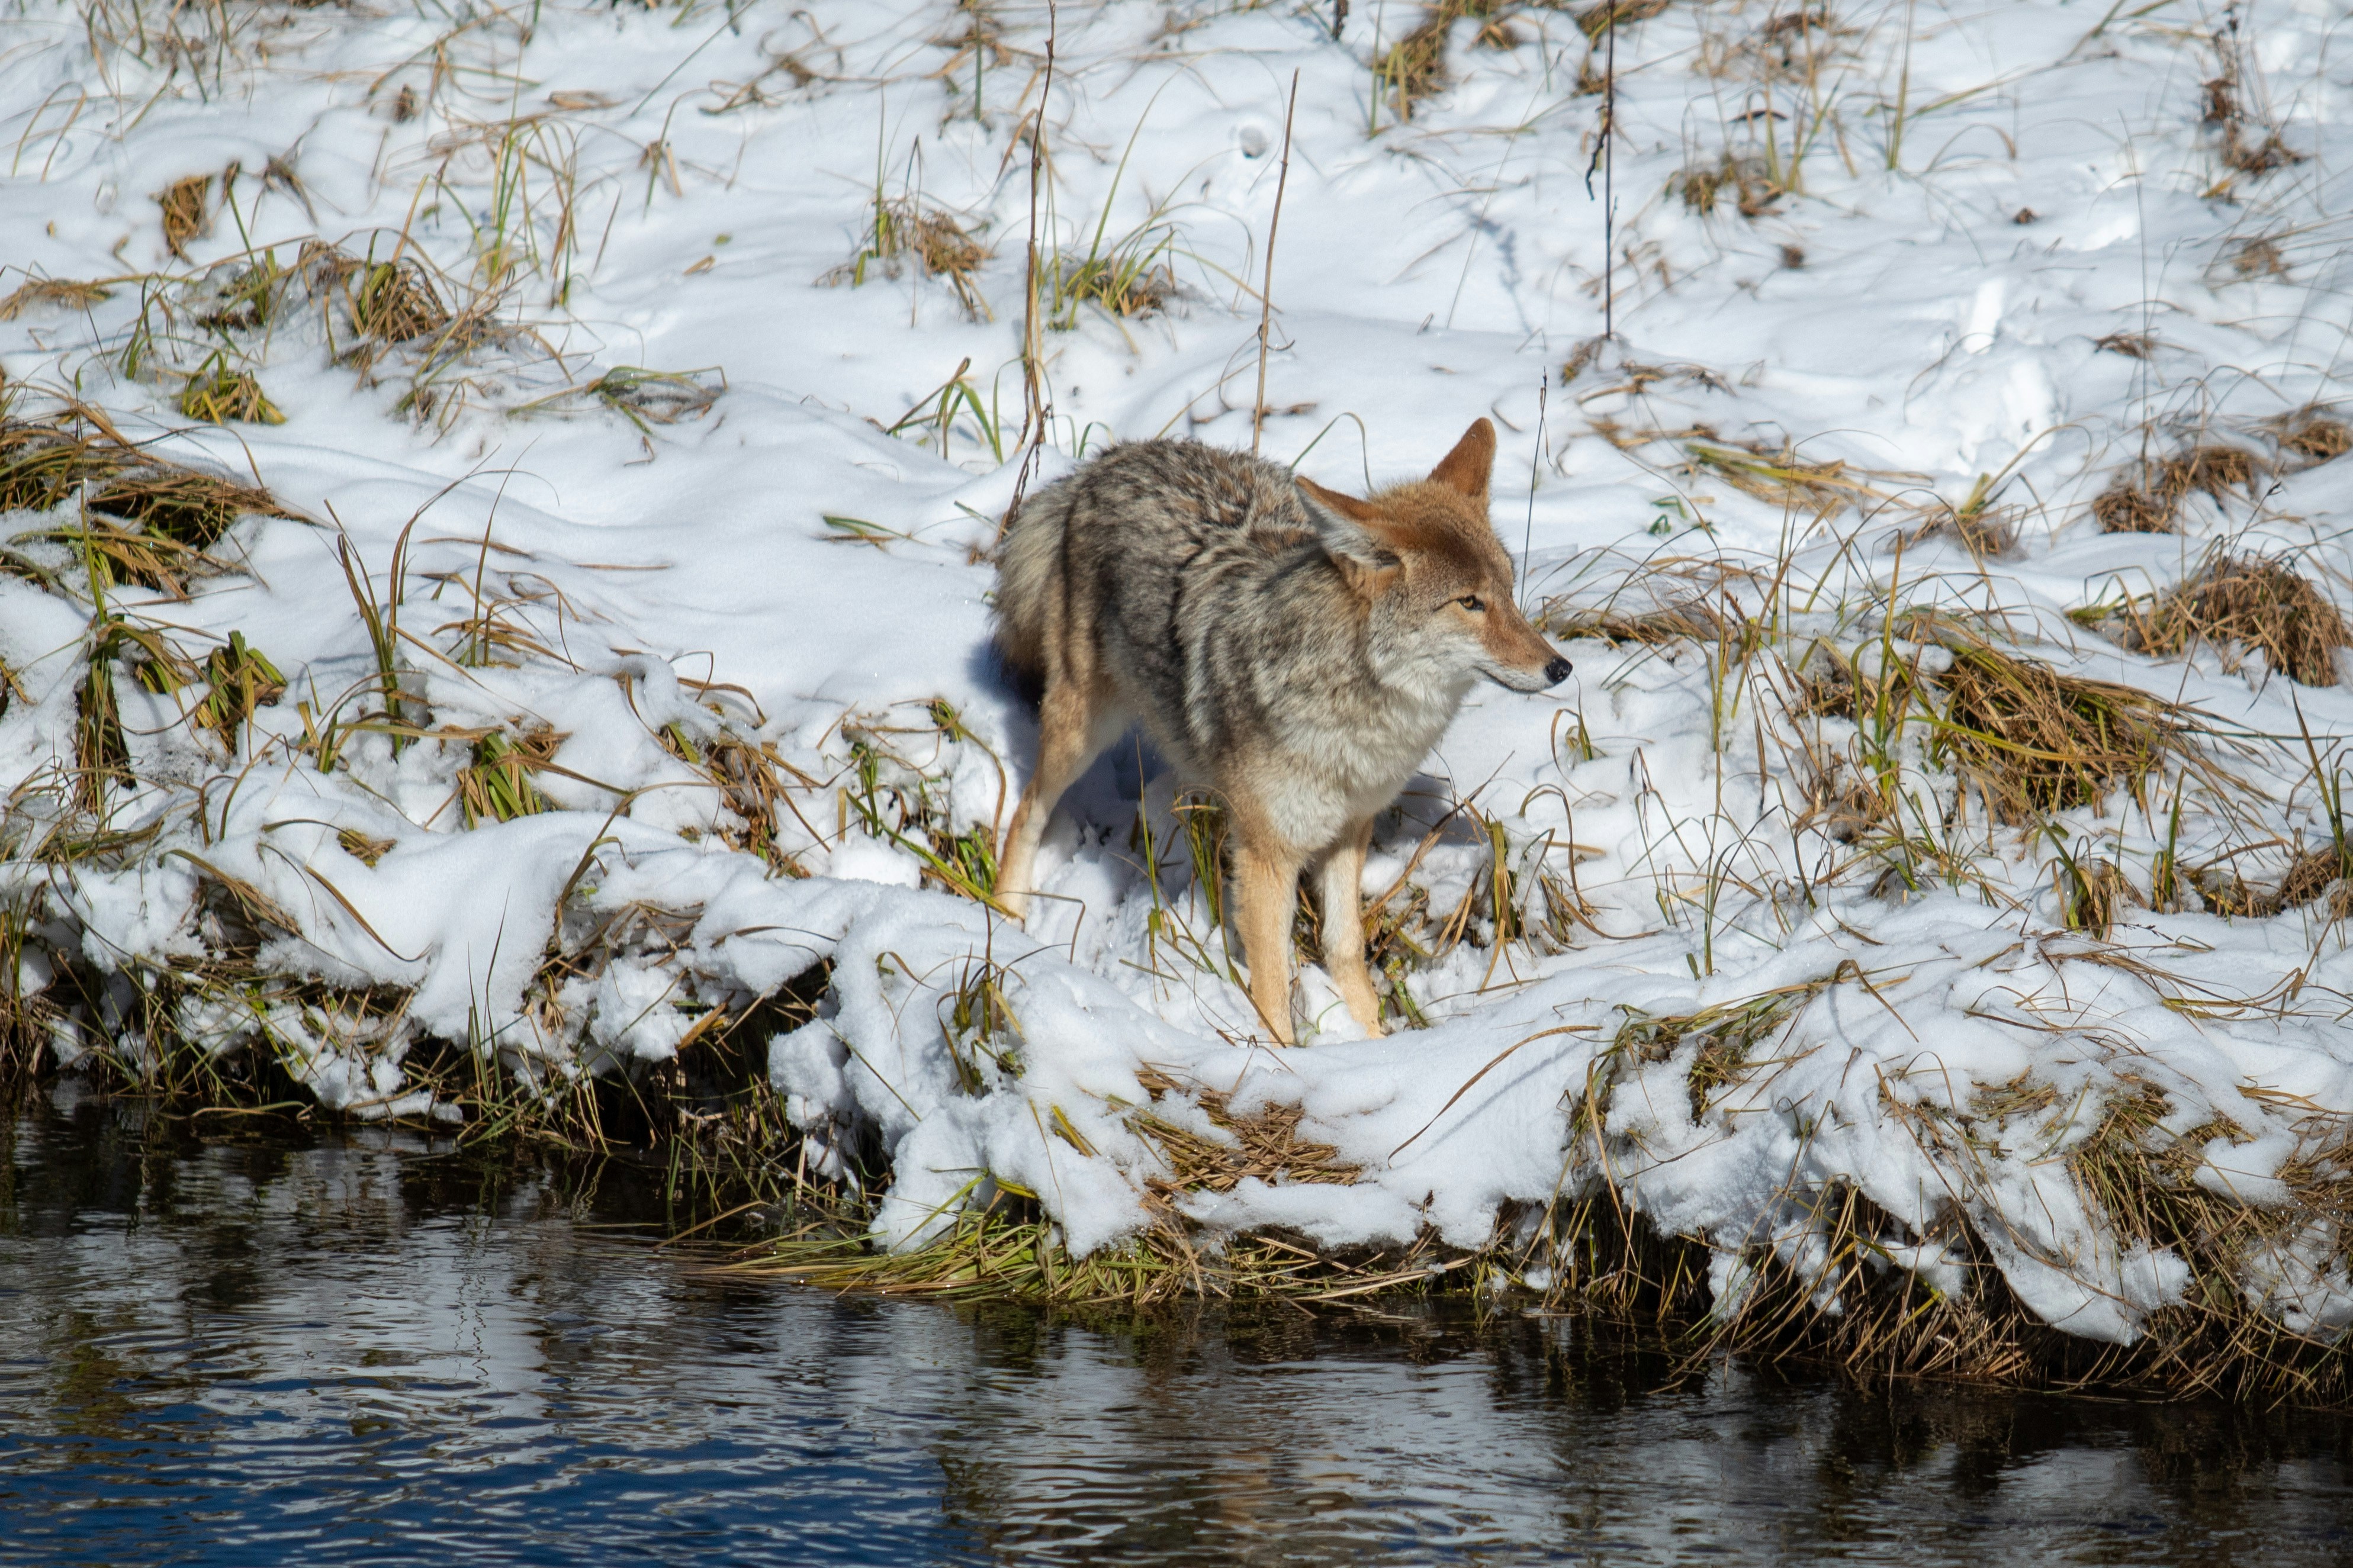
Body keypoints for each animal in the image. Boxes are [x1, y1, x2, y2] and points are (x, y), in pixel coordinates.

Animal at [990, 417, 1569, 1044]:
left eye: (1509, 591)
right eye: (1470, 603)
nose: (1561, 667)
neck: (1356, 717)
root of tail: (1114, 457)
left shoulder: (1349, 832)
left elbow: (1345, 946)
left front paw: (1372, 1041)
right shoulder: (1267, 855)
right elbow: (1271, 979)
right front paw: (1285, 1057)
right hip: (1081, 729)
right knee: (1026, 812)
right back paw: (1006, 916)